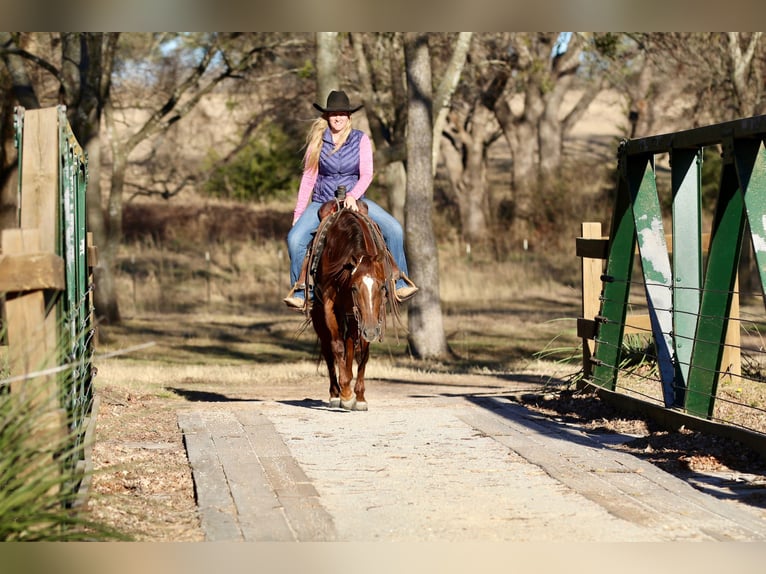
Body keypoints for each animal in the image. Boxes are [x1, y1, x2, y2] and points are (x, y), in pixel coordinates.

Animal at [308, 199, 399, 411]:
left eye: (382, 286)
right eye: (355, 288)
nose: (372, 331)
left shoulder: (365, 316)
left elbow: (362, 351)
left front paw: (360, 397)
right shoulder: (330, 306)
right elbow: (337, 347)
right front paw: (347, 394)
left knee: (350, 346)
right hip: (320, 317)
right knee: (328, 349)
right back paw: (336, 393)